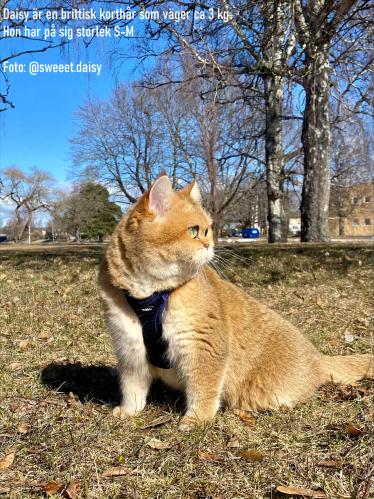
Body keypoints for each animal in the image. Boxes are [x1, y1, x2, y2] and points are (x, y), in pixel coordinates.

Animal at [98, 175, 374, 430]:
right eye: (193, 231)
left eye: (207, 230)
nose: (210, 244)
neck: (150, 296)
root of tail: (318, 358)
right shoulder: (130, 348)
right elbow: (132, 387)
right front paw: (129, 411)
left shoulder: (204, 348)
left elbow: (203, 389)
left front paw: (197, 419)